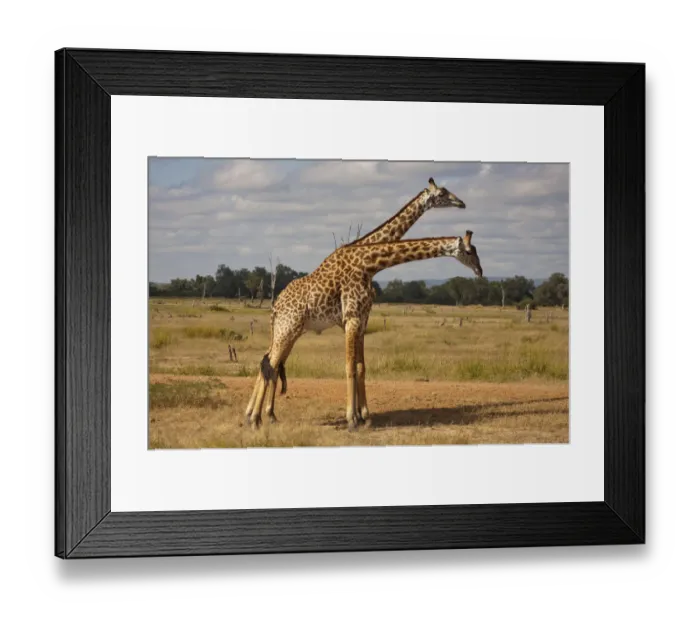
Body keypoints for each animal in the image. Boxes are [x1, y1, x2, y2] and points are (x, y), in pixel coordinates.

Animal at [244, 231, 483, 431]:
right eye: (469, 251)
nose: (480, 271)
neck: (367, 264)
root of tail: (276, 306)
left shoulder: (361, 321)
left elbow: (361, 366)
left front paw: (364, 417)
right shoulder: (352, 319)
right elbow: (350, 367)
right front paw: (352, 419)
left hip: (289, 331)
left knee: (268, 363)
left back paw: (259, 417)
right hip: (288, 329)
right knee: (270, 364)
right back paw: (255, 419)